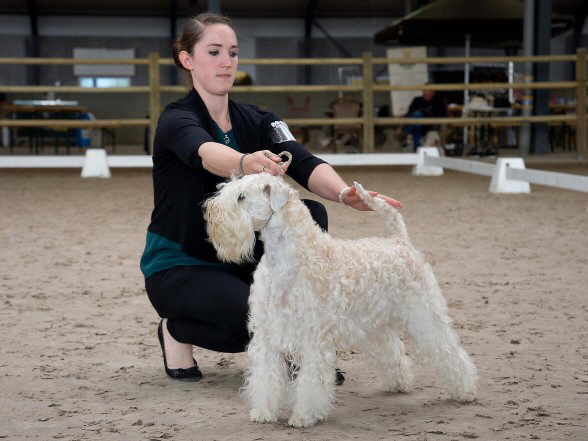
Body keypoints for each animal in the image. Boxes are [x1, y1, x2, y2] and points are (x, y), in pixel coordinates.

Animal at [202, 173, 478, 426]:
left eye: (241, 196)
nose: (209, 212)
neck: (289, 256)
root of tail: (400, 241)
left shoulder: (312, 335)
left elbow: (311, 380)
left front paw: (303, 416)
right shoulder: (268, 331)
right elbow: (266, 375)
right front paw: (264, 412)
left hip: (424, 313)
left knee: (447, 349)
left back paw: (465, 390)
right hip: (373, 323)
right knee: (392, 349)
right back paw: (398, 383)